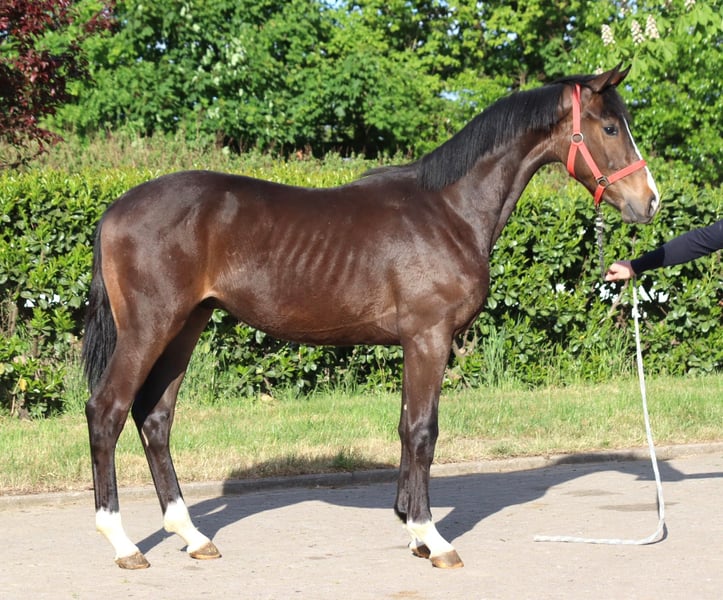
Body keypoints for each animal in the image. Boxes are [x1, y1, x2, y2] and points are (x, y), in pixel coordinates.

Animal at [82, 65, 660, 570]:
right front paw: (434, 538)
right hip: (150, 329)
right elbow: (423, 430)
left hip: (187, 326)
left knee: (155, 418)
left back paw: (193, 536)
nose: (649, 202)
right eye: (610, 127)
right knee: (107, 411)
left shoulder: (415, 342)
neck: (449, 210)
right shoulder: (429, 337)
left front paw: (413, 532)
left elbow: (406, 427)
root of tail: (114, 211)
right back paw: (123, 543)